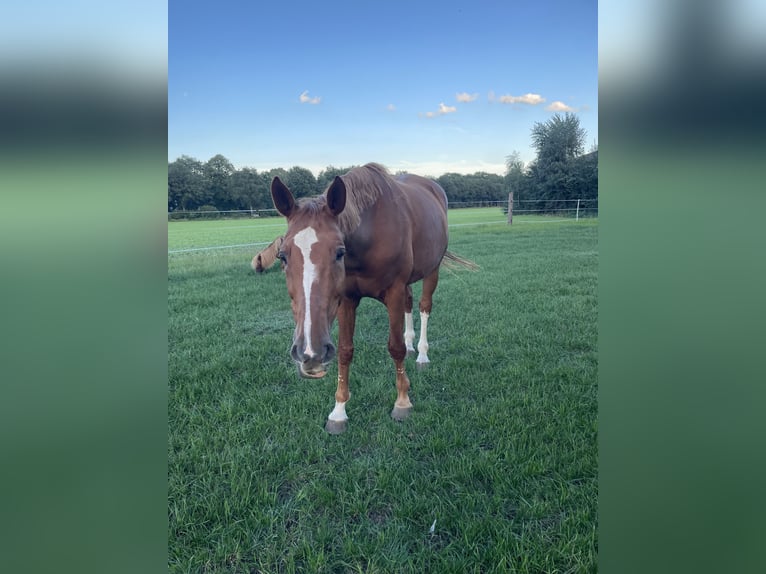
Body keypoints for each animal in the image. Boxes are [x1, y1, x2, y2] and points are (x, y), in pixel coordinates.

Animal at [272, 162, 450, 432]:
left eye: (339, 252)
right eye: (282, 256)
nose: (310, 354)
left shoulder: (394, 292)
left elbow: (395, 347)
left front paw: (402, 402)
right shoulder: (347, 299)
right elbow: (345, 351)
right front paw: (338, 412)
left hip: (433, 270)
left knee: (424, 306)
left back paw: (421, 354)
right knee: (410, 304)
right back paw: (412, 345)